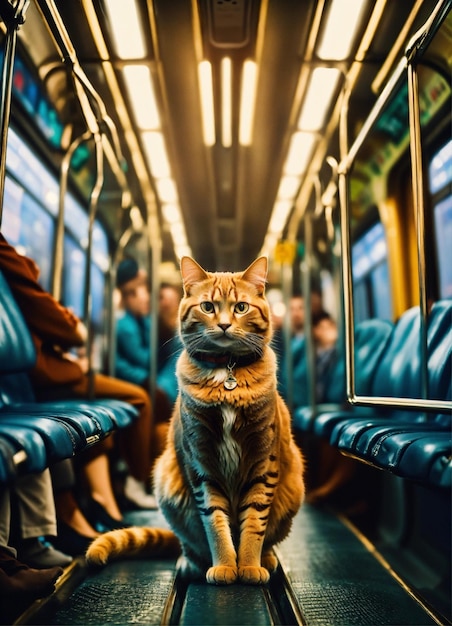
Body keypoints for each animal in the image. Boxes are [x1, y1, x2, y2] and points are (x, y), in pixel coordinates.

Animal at [85, 255, 304, 584]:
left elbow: (255, 522)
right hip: (168, 484)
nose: (224, 324)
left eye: (241, 307)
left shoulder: (263, 461)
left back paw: (266, 559)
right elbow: (215, 523)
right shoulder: (202, 462)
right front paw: (226, 565)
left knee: (269, 538)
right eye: (208, 307)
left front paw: (249, 565)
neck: (227, 373)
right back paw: (192, 564)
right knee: (190, 545)